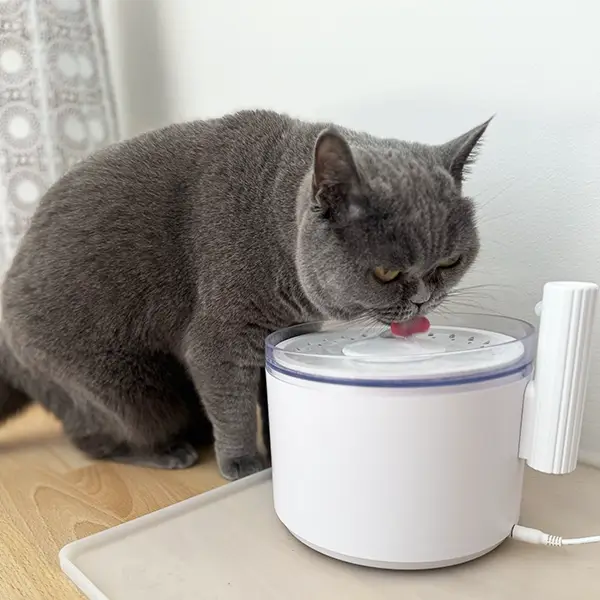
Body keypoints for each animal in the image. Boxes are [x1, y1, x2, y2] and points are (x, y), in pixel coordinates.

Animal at [0, 110, 488, 480]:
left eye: (449, 262)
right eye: (386, 272)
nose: (424, 299)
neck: (273, 228)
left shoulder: (281, 333)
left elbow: (268, 397)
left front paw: (277, 448)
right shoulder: (220, 340)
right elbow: (232, 404)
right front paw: (243, 463)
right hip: (121, 384)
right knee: (97, 436)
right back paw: (168, 452)